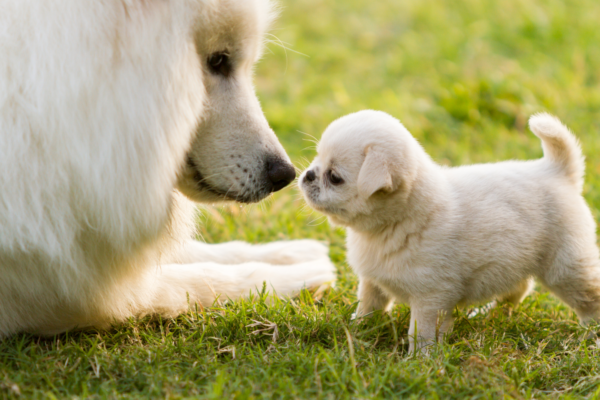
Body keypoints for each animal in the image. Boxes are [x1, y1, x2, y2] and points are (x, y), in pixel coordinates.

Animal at [0, 0, 336, 338]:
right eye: (218, 60)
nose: (285, 175)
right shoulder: (63, 291)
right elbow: (200, 280)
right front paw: (296, 277)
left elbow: (196, 251)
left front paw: (289, 253)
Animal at [302, 110, 600, 354]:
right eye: (317, 159)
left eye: (335, 178)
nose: (307, 175)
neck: (390, 225)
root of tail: (557, 171)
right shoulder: (372, 283)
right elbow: (367, 307)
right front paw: (357, 331)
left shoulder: (429, 298)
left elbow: (420, 332)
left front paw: (419, 361)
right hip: (513, 261)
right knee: (518, 289)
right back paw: (488, 313)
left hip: (566, 268)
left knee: (587, 298)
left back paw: (591, 335)